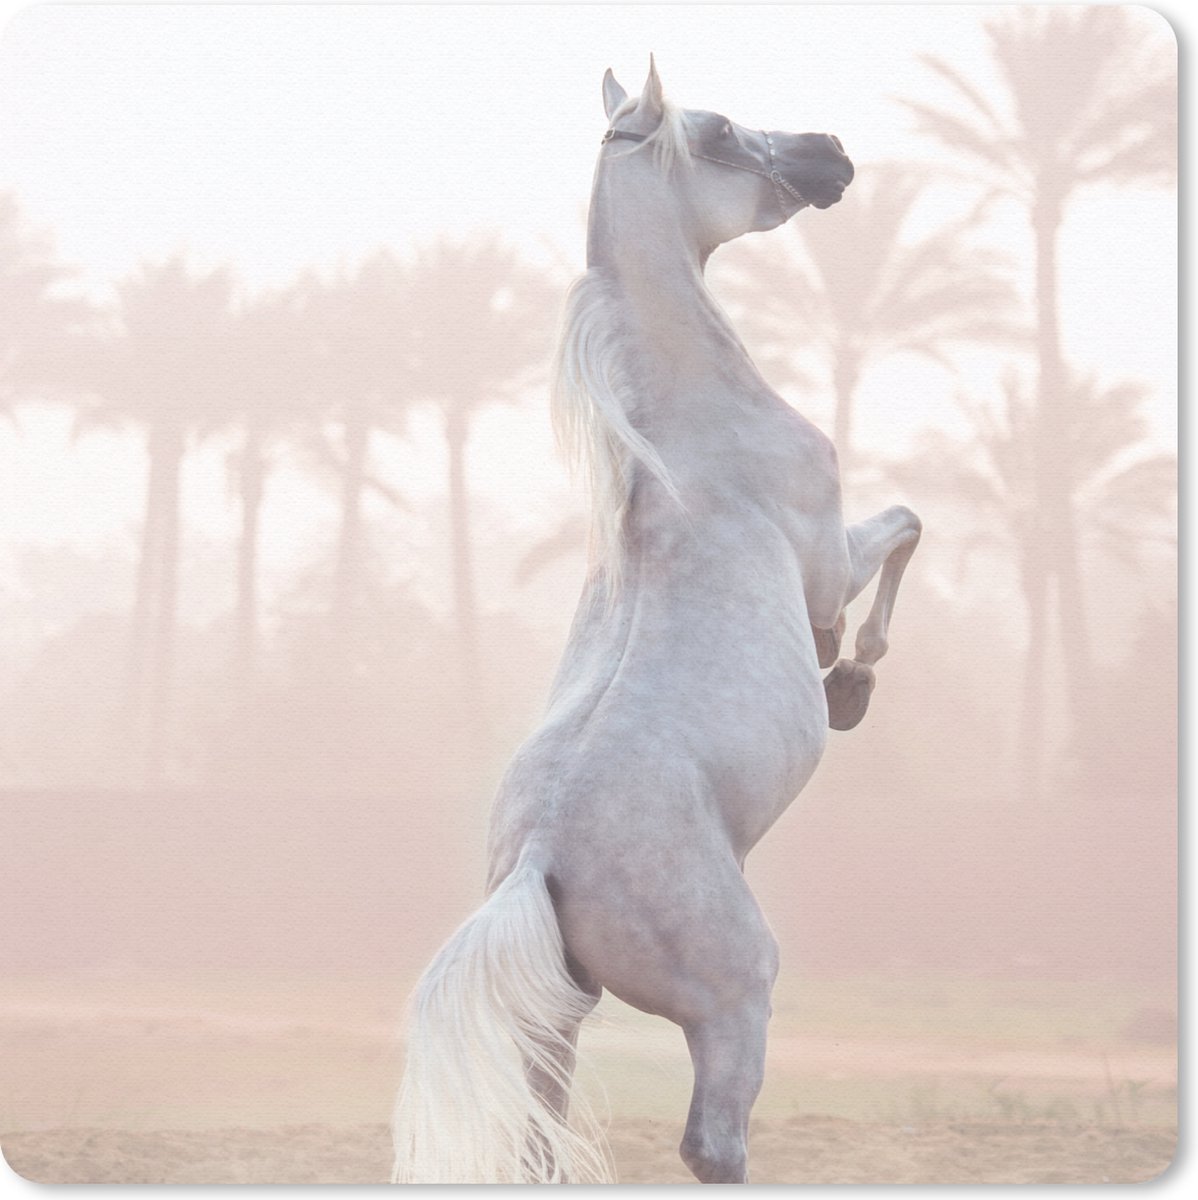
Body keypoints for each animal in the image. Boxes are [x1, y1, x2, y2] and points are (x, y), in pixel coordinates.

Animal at [391, 58, 921, 1185]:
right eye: (716, 132)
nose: (830, 152)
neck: (686, 444)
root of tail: (542, 861)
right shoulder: (826, 568)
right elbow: (903, 532)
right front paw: (849, 684)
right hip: (734, 1000)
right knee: (713, 1144)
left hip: (556, 1022)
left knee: (541, 1144)